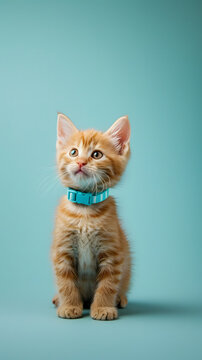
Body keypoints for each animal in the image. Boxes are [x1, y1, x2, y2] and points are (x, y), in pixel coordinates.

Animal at [51, 113, 132, 320]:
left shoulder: (112, 252)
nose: (81, 162)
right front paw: (69, 305)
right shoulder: (62, 250)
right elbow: (65, 283)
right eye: (73, 152)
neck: (84, 212)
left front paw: (103, 308)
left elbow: (108, 284)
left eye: (96, 154)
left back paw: (120, 298)